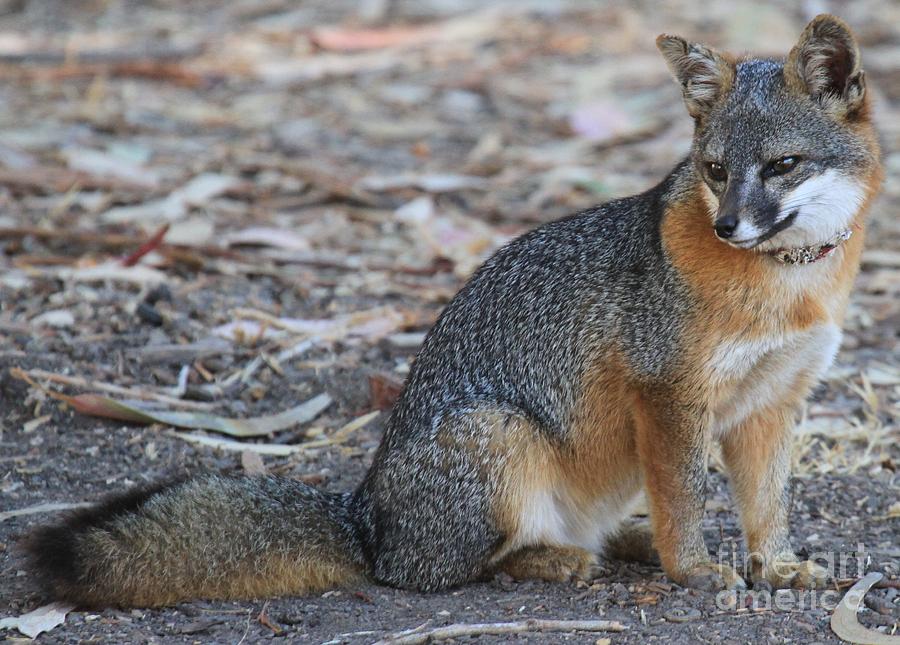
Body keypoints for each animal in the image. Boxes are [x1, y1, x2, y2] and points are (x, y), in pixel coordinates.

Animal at [26, 15, 880, 608]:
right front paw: (696, 567)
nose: (729, 226)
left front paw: (776, 564)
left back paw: (618, 541)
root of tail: (365, 518)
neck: (785, 288)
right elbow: (685, 500)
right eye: (714, 170)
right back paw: (559, 557)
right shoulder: (669, 396)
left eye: (782, 165)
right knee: (447, 570)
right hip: (503, 435)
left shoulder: (771, 402)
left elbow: (766, 504)